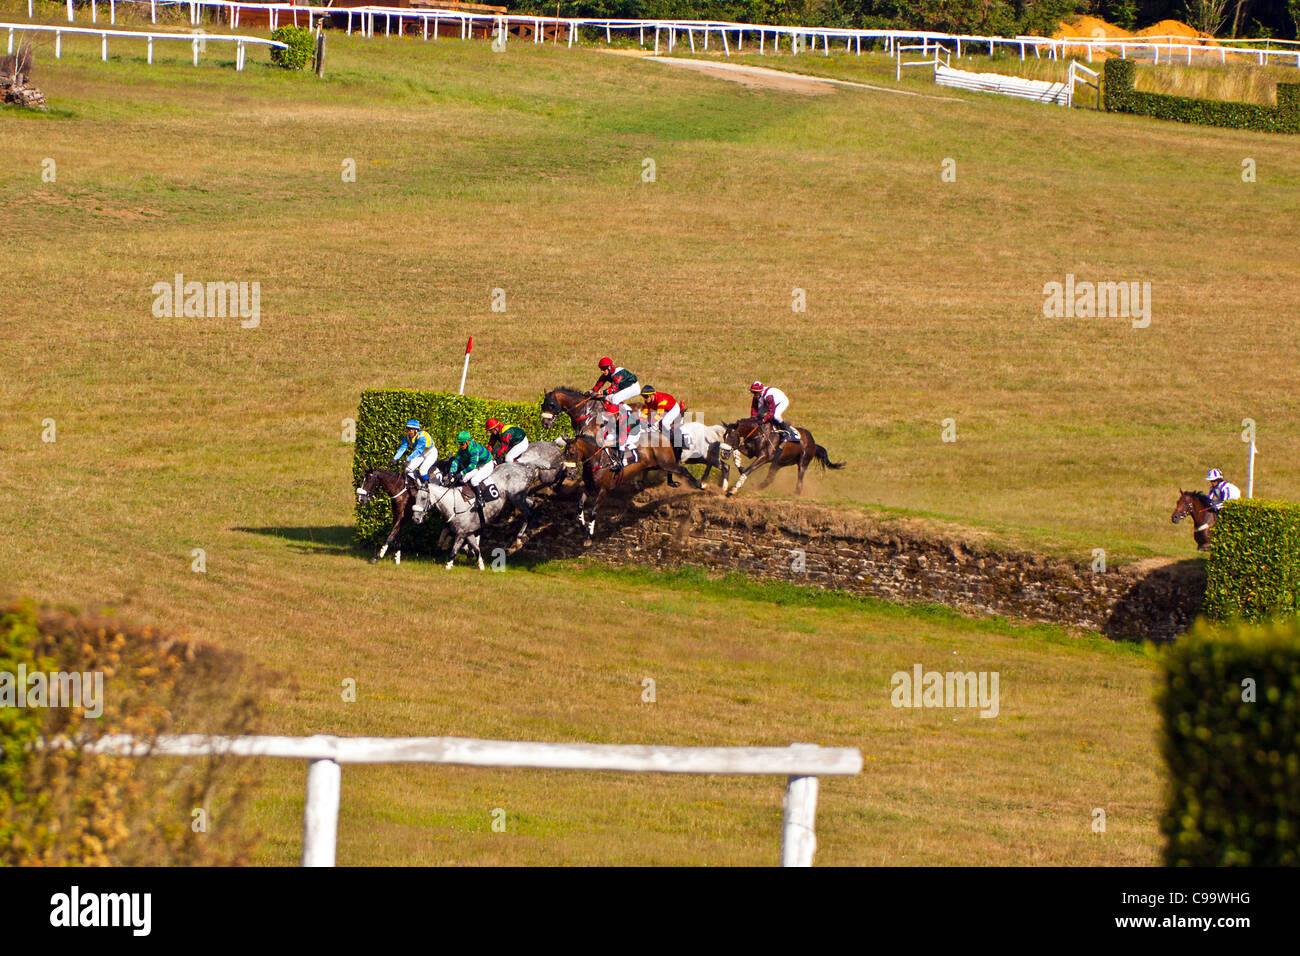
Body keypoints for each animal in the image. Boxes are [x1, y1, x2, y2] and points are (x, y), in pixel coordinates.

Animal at [559, 434, 702, 541]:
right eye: (564, 454)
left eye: (572, 453)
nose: (569, 473)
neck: (597, 461)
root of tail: (664, 437)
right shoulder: (589, 487)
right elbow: (580, 505)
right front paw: (583, 525)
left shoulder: (603, 490)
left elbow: (593, 512)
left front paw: (589, 536)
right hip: (658, 464)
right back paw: (663, 483)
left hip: (665, 462)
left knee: (683, 469)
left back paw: (700, 485)